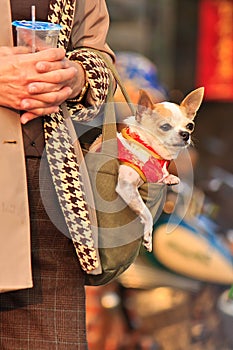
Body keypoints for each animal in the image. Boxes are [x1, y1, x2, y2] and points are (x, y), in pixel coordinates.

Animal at [90, 87, 205, 252]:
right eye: (165, 127)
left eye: (190, 126)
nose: (185, 134)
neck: (149, 148)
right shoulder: (127, 186)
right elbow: (147, 213)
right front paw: (148, 237)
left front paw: (169, 177)